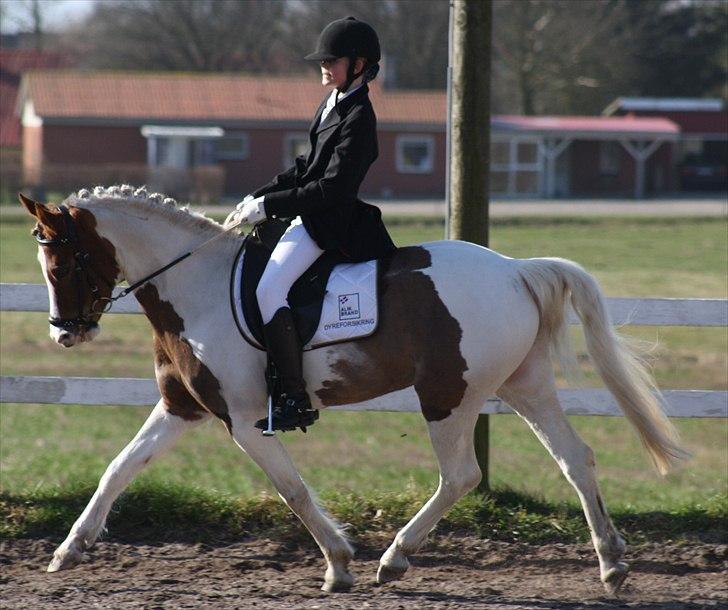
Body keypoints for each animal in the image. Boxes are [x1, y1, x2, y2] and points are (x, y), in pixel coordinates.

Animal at [18, 186, 688, 592]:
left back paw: (394, 558)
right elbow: (119, 469)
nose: (65, 333)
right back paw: (612, 562)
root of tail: (517, 270)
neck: (195, 284)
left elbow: (290, 489)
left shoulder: (244, 419)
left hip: (449, 396)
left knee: (461, 476)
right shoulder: (181, 407)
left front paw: (339, 564)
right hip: (525, 387)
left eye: (62, 264)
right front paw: (69, 551)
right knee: (574, 458)